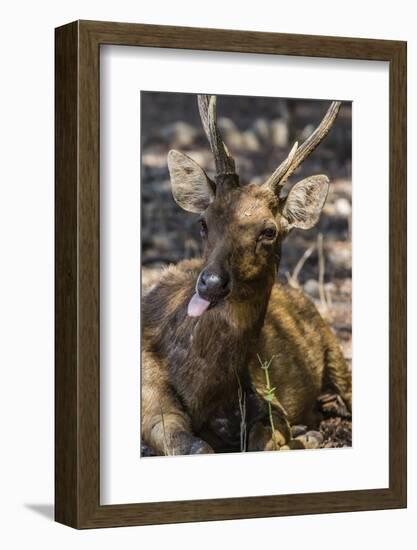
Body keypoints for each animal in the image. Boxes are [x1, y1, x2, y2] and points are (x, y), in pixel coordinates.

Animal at [141, 95, 350, 458]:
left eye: (269, 231)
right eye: (204, 222)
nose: (211, 283)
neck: (205, 394)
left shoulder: (266, 396)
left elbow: (265, 438)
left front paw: (299, 439)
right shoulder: (148, 398)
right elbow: (194, 446)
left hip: (334, 351)